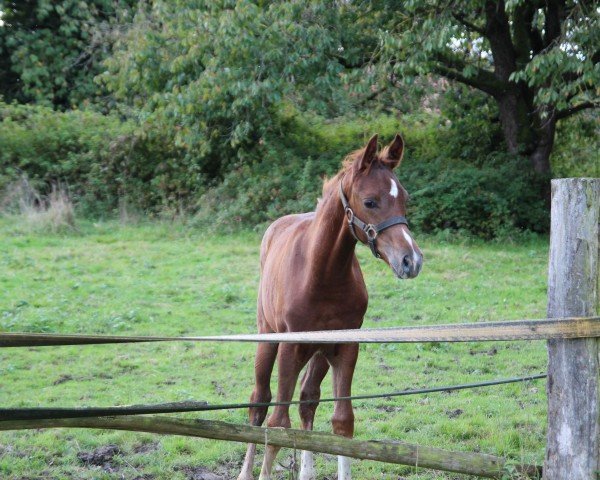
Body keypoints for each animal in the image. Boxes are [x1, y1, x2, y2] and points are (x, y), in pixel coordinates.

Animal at [238, 134, 422, 480]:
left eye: (404, 197)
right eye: (370, 201)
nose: (411, 260)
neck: (322, 273)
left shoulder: (345, 346)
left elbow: (342, 421)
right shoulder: (289, 347)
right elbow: (277, 424)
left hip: (319, 352)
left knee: (307, 400)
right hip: (267, 337)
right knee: (260, 401)